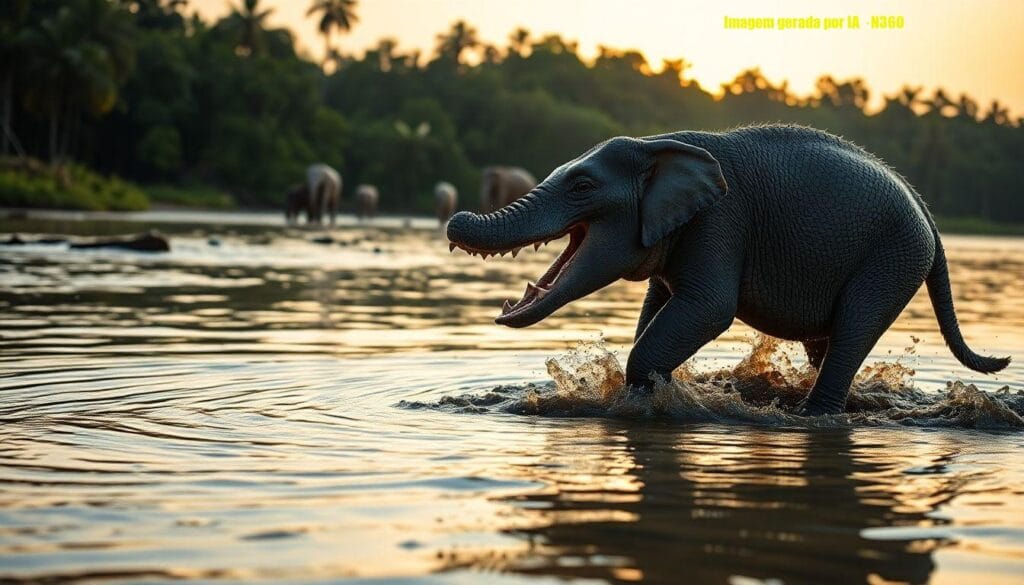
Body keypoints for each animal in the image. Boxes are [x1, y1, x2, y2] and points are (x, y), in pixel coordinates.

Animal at [446, 125, 1010, 416]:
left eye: (582, 186)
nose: (454, 222)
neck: (659, 146)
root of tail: (930, 219)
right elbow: (657, 307)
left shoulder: (720, 222)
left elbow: (708, 308)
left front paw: (640, 398)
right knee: (826, 342)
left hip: (892, 257)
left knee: (853, 330)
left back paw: (811, 415)